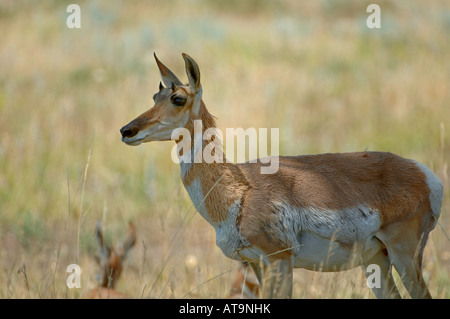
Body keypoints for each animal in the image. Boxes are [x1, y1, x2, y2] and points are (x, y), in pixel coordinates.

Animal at [119, 53, 442, 300]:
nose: (127, 130)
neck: (240, 191)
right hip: (376, 261)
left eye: (178, 98)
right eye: (155, 95)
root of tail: (426, 174)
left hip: (404, 254)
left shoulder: (280, 260)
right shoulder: (256, 263)